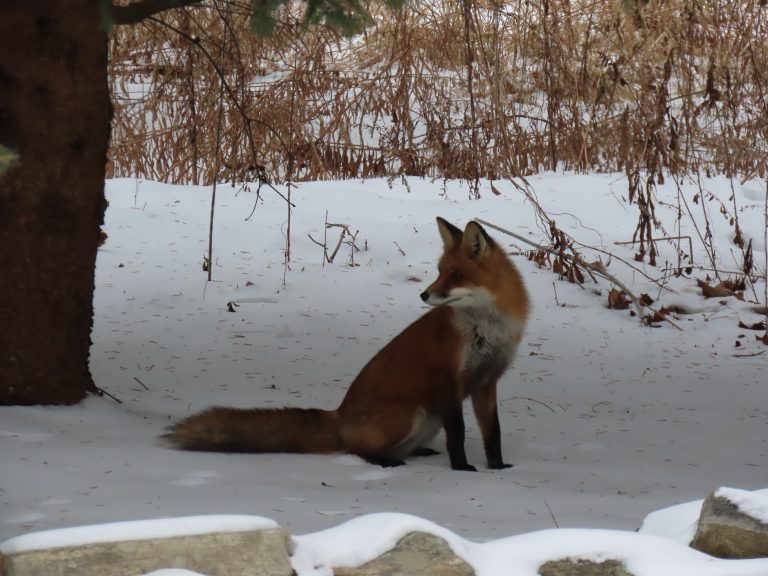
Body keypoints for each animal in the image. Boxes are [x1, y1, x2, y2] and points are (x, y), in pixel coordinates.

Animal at [161, 217, 529, 471]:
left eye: (455, 276)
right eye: (439, 271)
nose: (424, 295)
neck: (486, 328)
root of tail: (339, 415)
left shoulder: (487, 381)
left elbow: (492, 431)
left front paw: (497, 467)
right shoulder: (449, 380)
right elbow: (459, 433)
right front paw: (462, 468)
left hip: (428, 420)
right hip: (413, 413)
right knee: (357, 450)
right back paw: (386, 461)